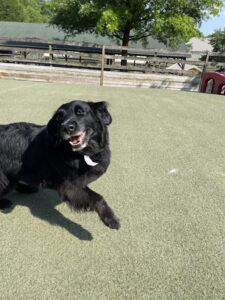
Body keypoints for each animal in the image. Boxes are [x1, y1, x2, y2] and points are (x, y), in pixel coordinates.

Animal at [0, 101, 120, 230]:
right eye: (59, 117)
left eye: (80, 112)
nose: (66, 127)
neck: (79, 153)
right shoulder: (70, 185)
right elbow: (97, 197)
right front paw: (110, 218)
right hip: (4, 179)